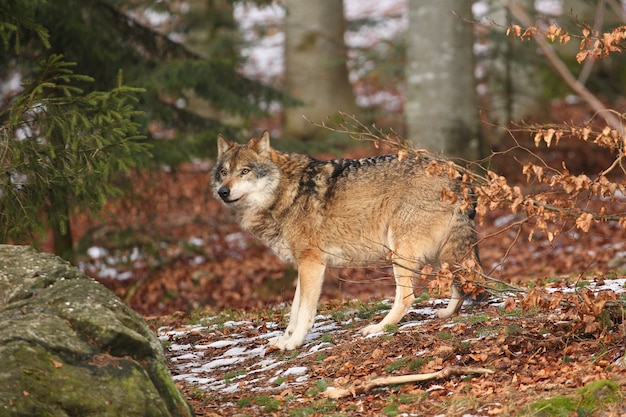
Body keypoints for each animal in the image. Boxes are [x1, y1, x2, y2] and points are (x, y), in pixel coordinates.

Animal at [212, 132, 480, 350]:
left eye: (244, 171)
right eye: (224, 172)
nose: (222, 192)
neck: (287, 193)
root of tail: (456, 174)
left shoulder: (312, 263)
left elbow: (304, 312)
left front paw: (294, 343)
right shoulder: (303, 265)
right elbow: (294, 310)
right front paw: (284, 340)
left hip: (402, 253)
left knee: (407, 297)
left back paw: (378, 328)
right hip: (439, 254)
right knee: (462, 280)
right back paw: (448, 313)